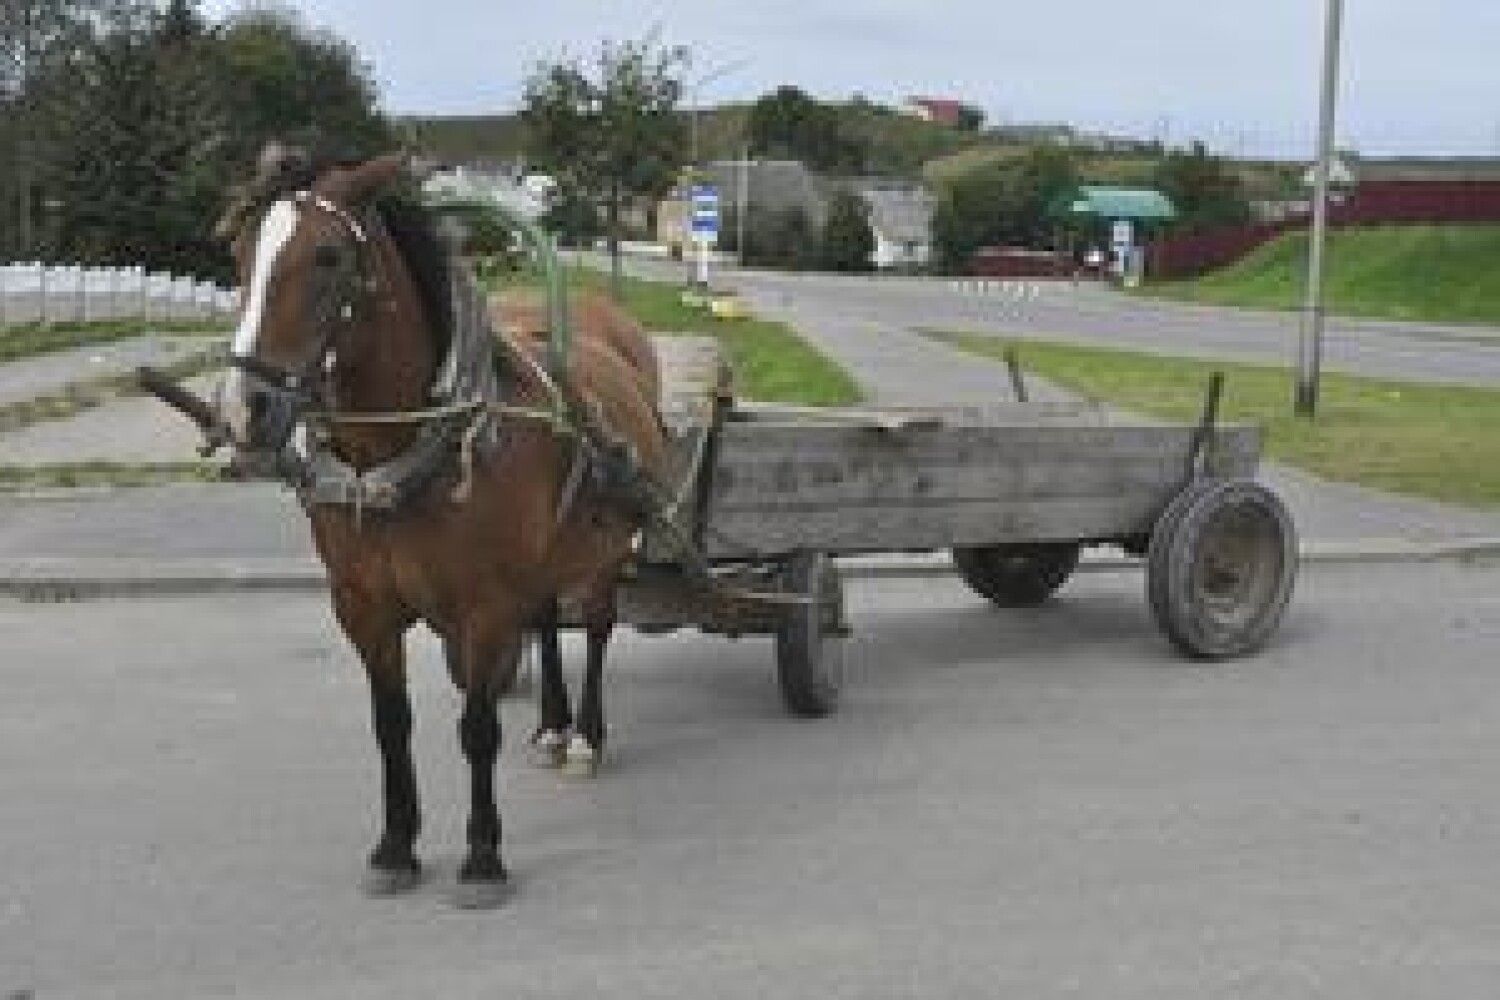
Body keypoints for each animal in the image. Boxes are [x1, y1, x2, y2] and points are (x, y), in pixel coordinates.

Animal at [217, 150, 669, 905]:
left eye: (329, 256)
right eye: (241, 252)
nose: (244, 409)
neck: (399, 458)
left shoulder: (482, 608)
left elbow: (477, 727)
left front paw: (482, 856)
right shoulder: (363, 608)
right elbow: (390, 724)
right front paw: (396, 847)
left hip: (604, 550)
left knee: (599, 626)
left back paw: (584, 736)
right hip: (543, 561)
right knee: (548, 621)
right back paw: (552, 725)